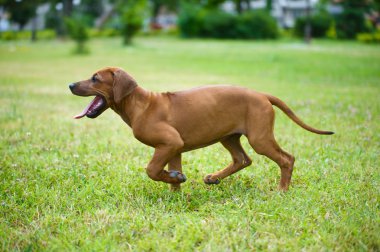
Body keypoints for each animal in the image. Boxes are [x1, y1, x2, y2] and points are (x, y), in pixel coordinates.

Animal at [70, 67, 334, 191]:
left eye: (95, 78)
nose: (71, 84)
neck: (140, 104)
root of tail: (262, 94)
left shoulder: (169, 143)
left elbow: (151, 169)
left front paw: (172, 180)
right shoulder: (173, 148)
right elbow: (171, 175)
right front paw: (175, 187)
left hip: (260, 138)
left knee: (286, 159)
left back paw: (281, 190)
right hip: (229, 136)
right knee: (242, 159)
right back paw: (213, 178)